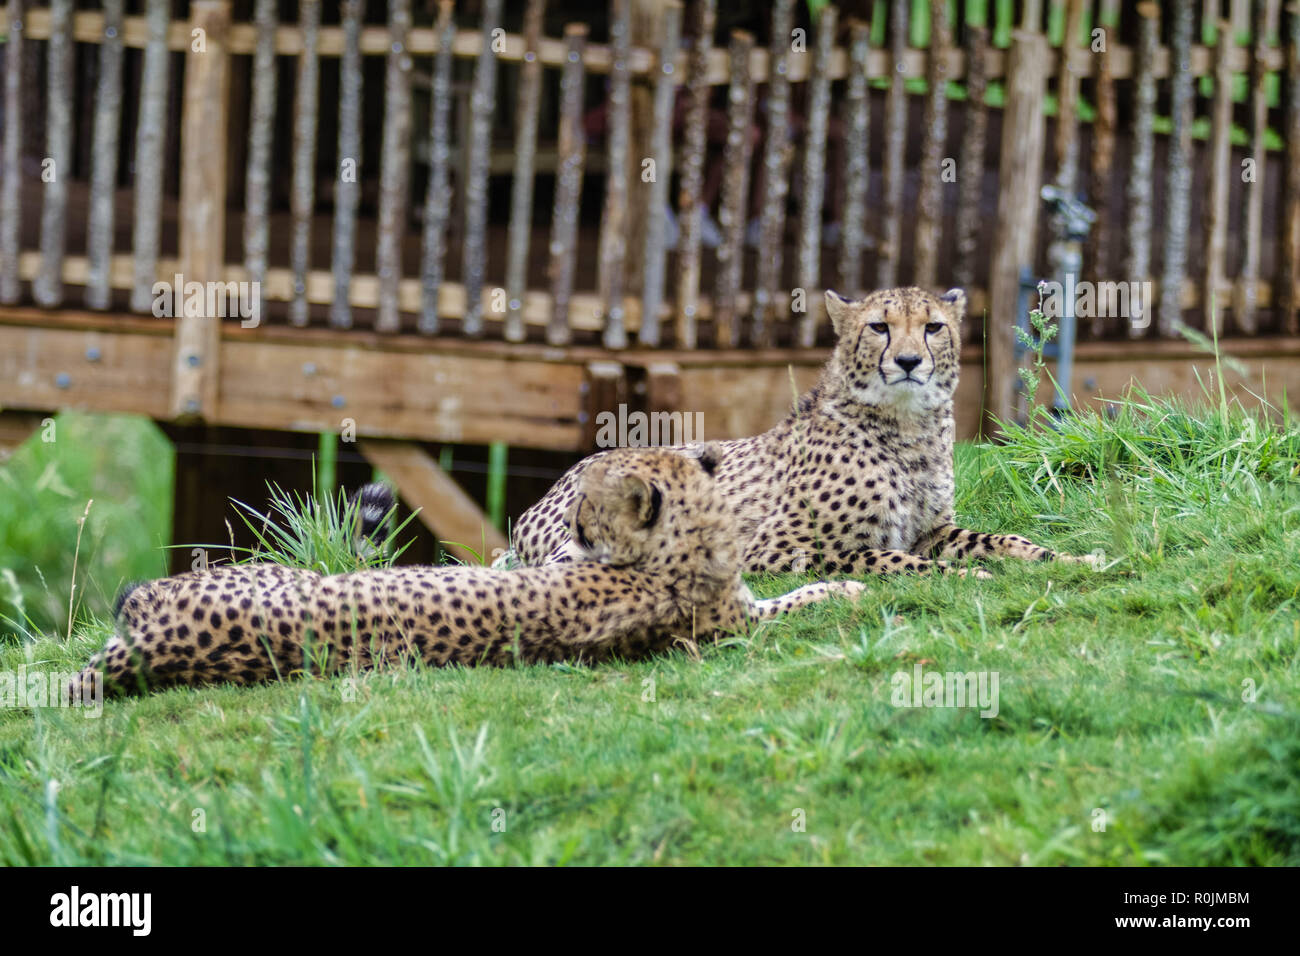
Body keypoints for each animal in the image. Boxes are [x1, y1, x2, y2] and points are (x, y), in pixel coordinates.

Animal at [68, 444, 863, 697]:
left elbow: (803, 594)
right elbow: (807, 595)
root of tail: (156, 645)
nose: (568, 520)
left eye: (591, 500)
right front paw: (850, 587)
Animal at [506, 283, 1097, 574]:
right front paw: (966, 577)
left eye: (932, 328)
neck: (906, 430)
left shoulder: (933, 531)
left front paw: (1073, 559)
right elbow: (883, 557)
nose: (908, 362)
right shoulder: (770, 548)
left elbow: (1005, 539)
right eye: (878, 327)